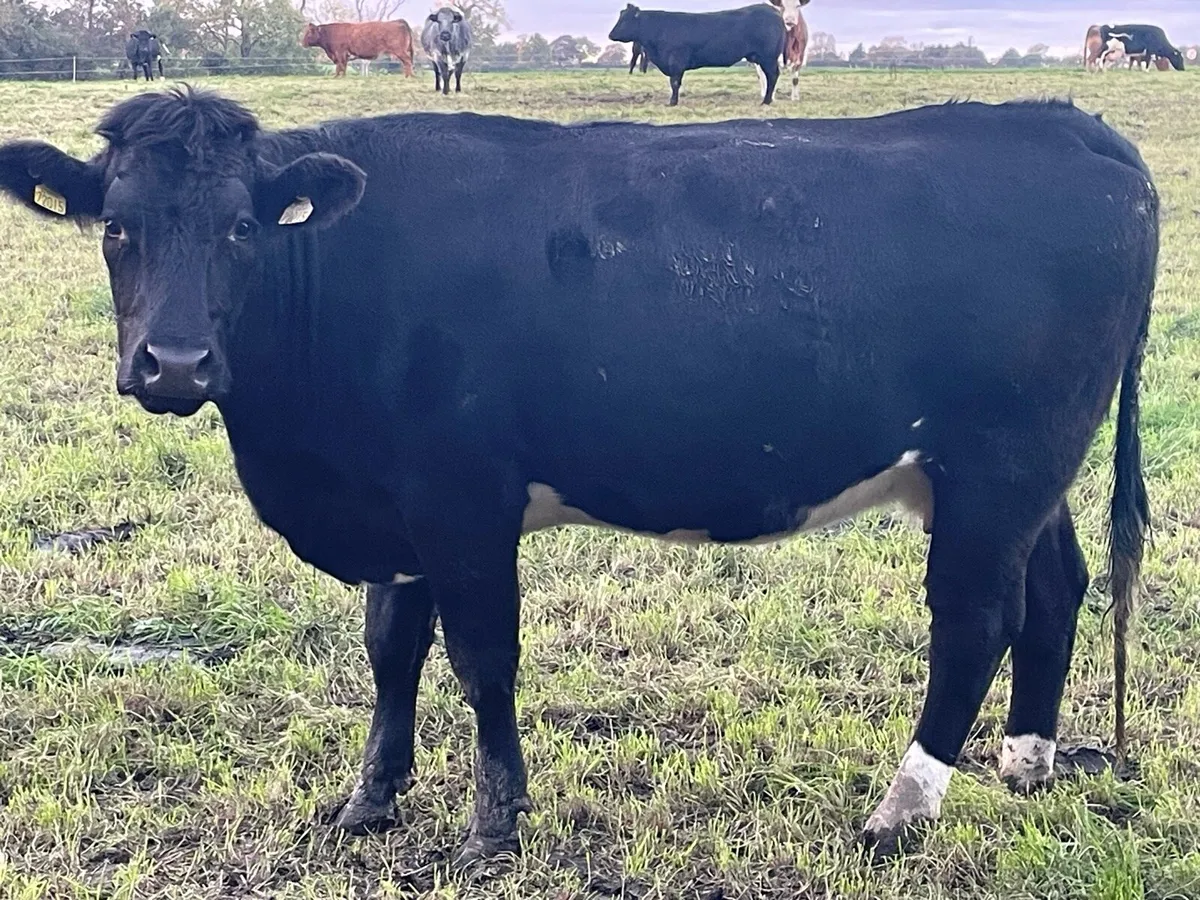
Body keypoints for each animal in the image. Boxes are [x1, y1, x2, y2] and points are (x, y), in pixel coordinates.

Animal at [0, 88, 1156, 864]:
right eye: (116, 227)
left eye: (242, 226)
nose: (175, 364)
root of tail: (1065, 122)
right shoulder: (394, 508)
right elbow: (389, 653)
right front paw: (368, 803)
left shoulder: (462, 501)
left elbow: (481, 664)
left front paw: (492, 828)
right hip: (1020, 474)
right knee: (1055, 588)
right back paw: (1026, 765)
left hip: (1000, 463)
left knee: (975, 618)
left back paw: (900, 812)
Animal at [607, 3, 786, 106]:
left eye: (625, 19)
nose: (611, 35)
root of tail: (773, 11)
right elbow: (675, 83)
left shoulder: (676, 61)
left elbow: (674, 83)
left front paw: (672, 102)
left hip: (768, 57)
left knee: (772, 76)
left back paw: (766, 101)